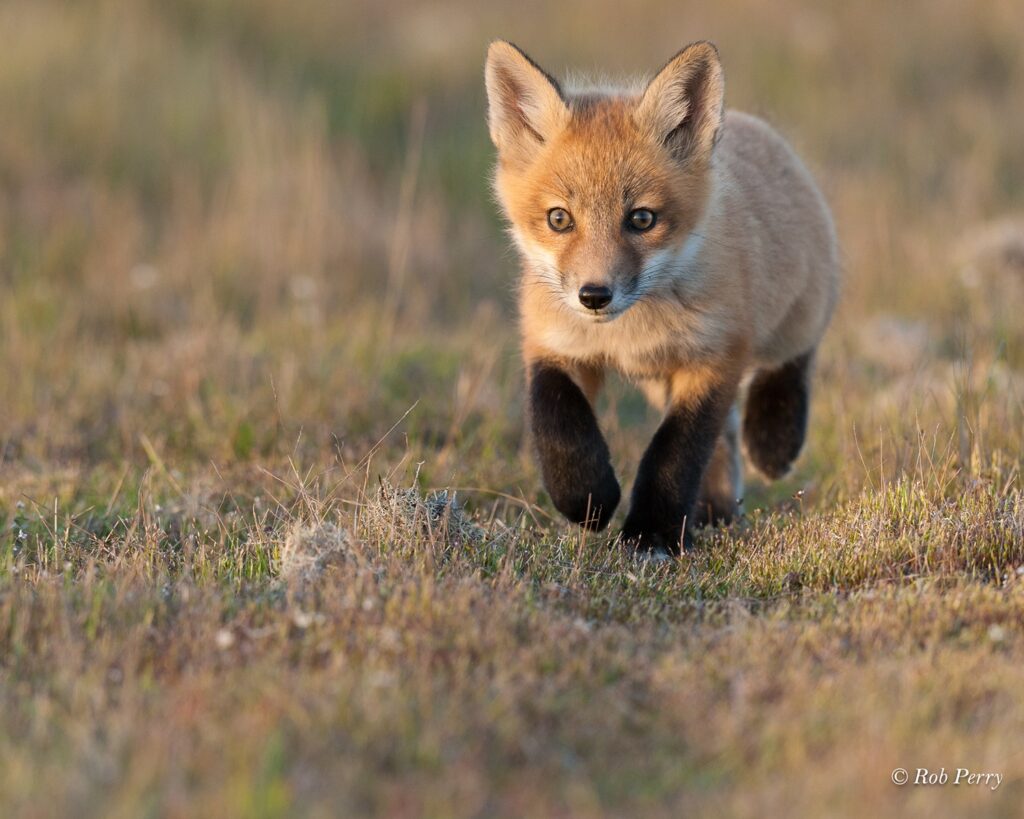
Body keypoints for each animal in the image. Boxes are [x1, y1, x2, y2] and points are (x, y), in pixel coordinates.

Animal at [484, 40, 840, 554]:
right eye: (559, 219)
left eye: (641, 219)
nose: (594, 296)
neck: (626, 337)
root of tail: (754, 125)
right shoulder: (552, 343)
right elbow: (557, 422)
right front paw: (586, 496)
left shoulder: (715, 356)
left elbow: (675, 453)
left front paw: (650, 534)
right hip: (658, 381)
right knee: (723, 440)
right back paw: (714, 512)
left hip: (797, 314)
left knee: (790, 362)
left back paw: (773, 440)